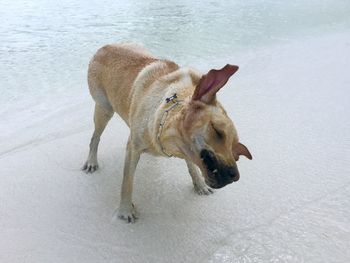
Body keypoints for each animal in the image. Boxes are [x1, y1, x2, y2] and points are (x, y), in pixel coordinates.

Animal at [82, 43, 252, 223]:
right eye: (218, 131)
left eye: (235, 151)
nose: (235, 176)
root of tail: (104, 47)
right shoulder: (133, 148)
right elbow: (127, 183)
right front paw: (125, 209)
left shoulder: (185, 149)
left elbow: (192, 166)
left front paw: (199, 184)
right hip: (104, 109)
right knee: (95, 137)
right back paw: (92, 160)